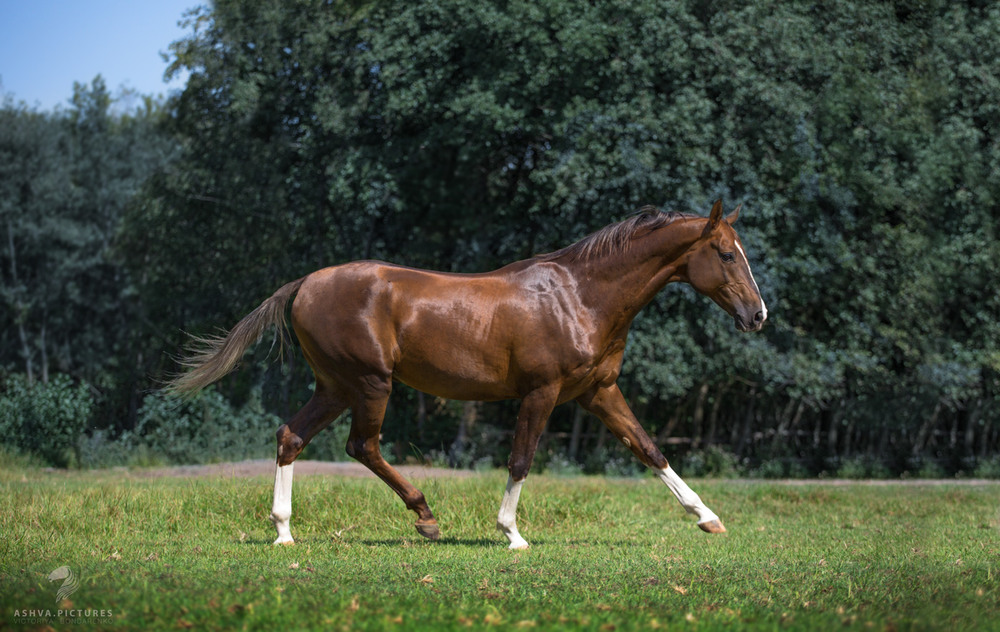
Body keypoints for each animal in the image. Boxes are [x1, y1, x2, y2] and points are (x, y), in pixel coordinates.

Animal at [170, 199, 764, 548]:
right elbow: (521, 459)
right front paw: (512, 535)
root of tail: (305, 284)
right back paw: (425, 517)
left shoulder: (597, 391)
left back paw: (284, 532)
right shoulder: (543, 392)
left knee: (292, 436)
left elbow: (650, 448)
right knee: (362, 445)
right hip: (370, 384)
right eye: (725, 254)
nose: (757, 315)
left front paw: (707, 517)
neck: (581, 296)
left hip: (336, 386)